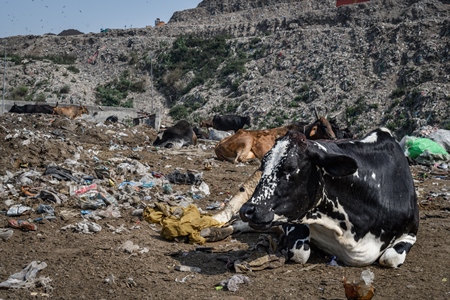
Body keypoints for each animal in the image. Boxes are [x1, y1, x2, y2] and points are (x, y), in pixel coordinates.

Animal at [241, 127, 420, 268]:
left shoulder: (411, 231)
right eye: (263, 164)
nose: (247, 210)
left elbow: (390, 258)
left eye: (291, 167)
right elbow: (299, 252)